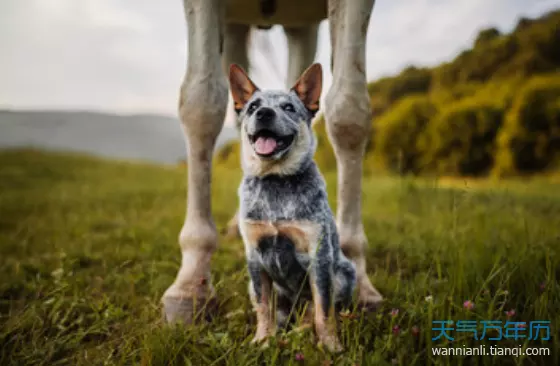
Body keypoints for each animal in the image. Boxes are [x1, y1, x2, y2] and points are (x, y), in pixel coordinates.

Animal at [229, 63, 356, 352]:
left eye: (288, 107)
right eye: (253, 106)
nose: (264, 113)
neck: (276, 180)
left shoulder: (319, 257)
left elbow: (324, 310)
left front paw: (331, 345)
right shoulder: (255, 256)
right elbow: (263, 306)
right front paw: (263, 340)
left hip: (344, 273)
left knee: (315, 312)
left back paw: (300, 332)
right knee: (270, 309)